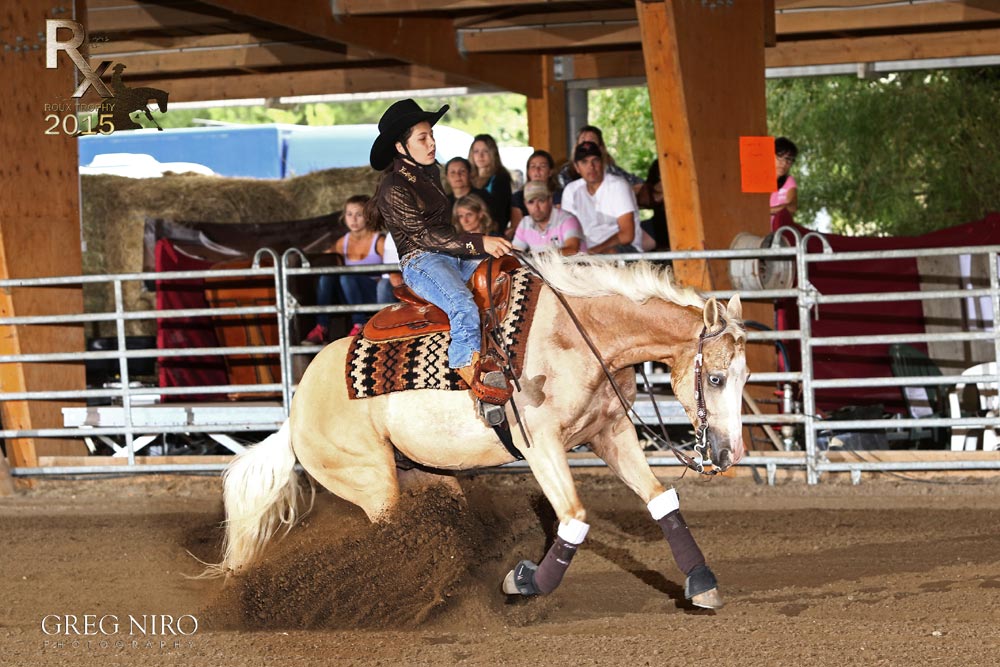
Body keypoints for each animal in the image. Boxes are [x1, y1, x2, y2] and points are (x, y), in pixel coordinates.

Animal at [219, 254, 752, 612]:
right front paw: (523, 582)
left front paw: (702, 584)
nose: (730, 454)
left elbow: (661, 499)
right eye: (716, 378)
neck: (578, 336)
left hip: (424, 477)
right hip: (372, 483)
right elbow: (574, 518)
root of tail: (296, 413)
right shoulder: (541, 446)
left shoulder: (611, 432)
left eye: (745, 376)